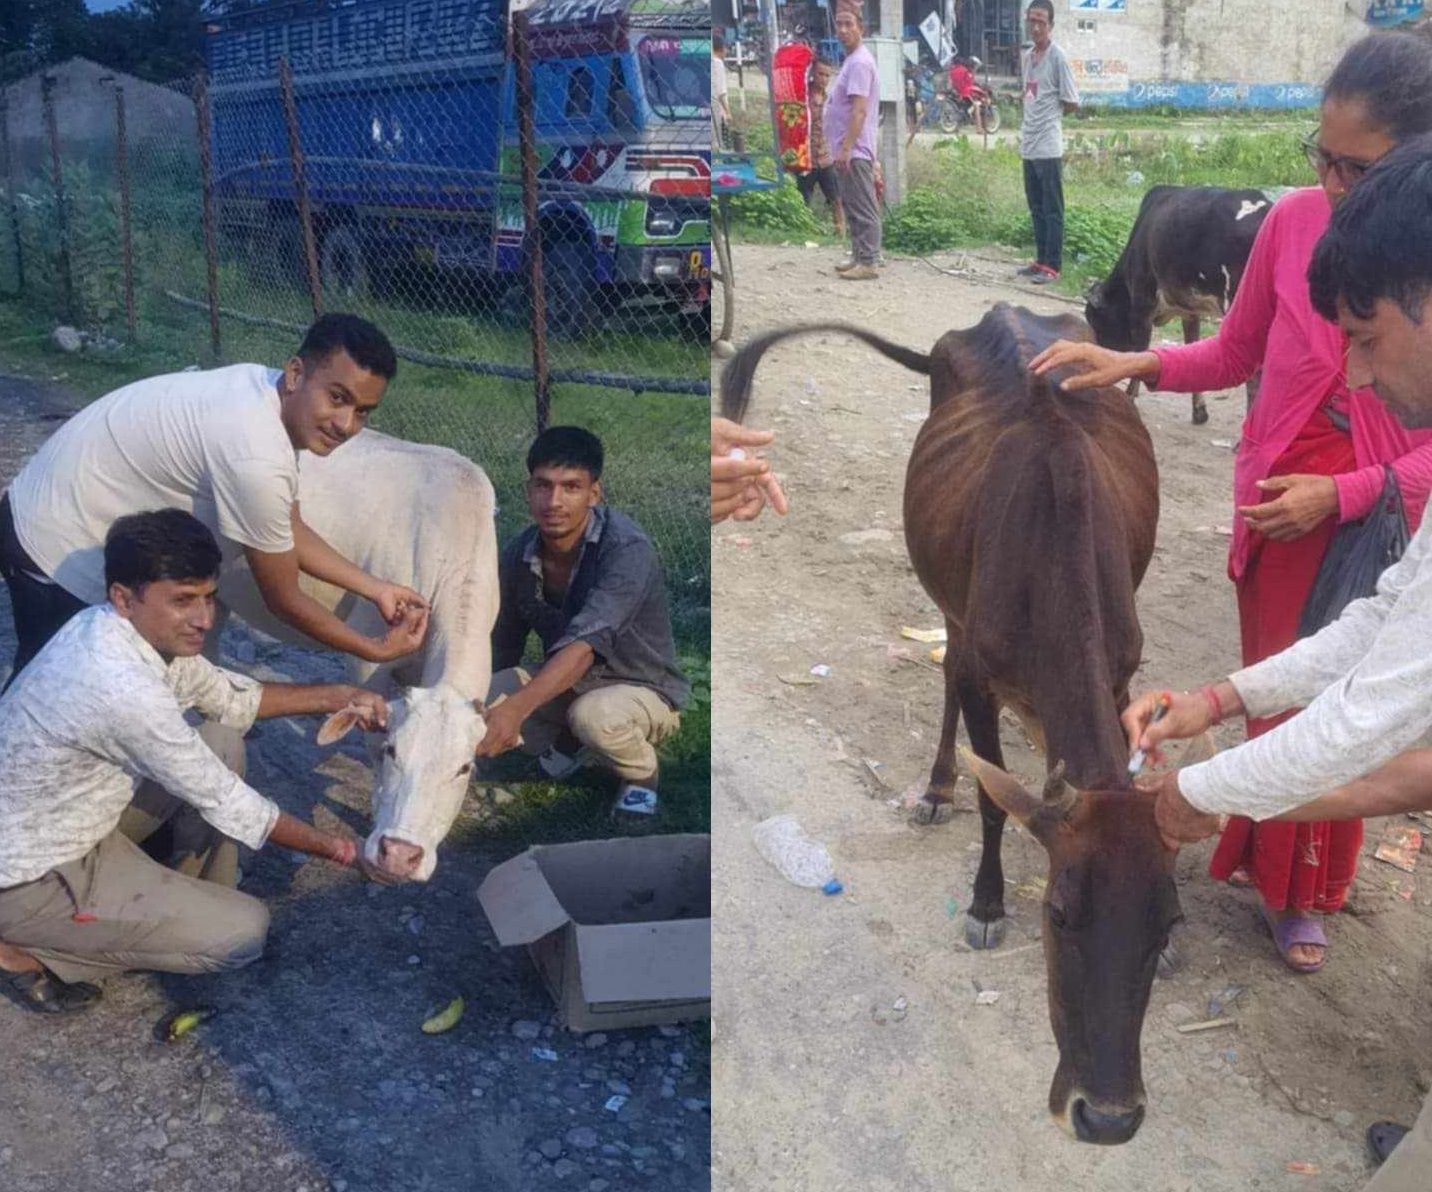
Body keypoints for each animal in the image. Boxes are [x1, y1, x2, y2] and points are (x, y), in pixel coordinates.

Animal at [721, 302, 1179, 1140]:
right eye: (1058, 914)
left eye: (1167, 921)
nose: (1109, 1117)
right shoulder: (977, 666)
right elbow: (995, 803)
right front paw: (987, 902)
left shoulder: (1123, 669)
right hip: (947, 604)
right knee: (940, 676)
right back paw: (936, 790)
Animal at [1082, 183, 1277, 426]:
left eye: (1093, 319)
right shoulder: (1190, 310)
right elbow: (1191, 346)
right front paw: (1199, 411)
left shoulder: (1143, 302)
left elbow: (1141, 349)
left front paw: (1129, 397)